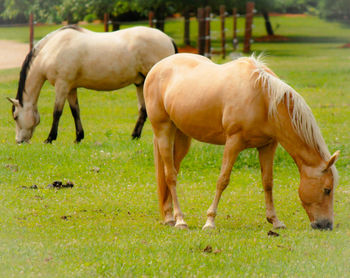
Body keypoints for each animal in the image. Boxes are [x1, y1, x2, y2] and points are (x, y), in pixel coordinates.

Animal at [7, 24, 178, 143]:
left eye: (15, 116)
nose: (19, 141)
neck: (52, 50)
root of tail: (168, 39)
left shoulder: (62, 85)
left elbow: (57, 112)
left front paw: (50, 138)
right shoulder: (71, 88)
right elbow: (75, 111)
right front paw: (78, 137)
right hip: (141, 83)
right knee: (143, 110)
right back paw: (134, 136)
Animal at [144, 53, 340, 230]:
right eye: (327, 189)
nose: (326, 225)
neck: (263, 98)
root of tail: (157, 68)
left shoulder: (267, 146)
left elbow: (268, 182)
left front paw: (275, 221)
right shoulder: (233, 142)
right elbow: (222, 180)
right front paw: (210, 221)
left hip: (182, 138)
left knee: (171, 172)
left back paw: (169, 217)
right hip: (163, 131)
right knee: (170, 175)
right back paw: (180, 220)